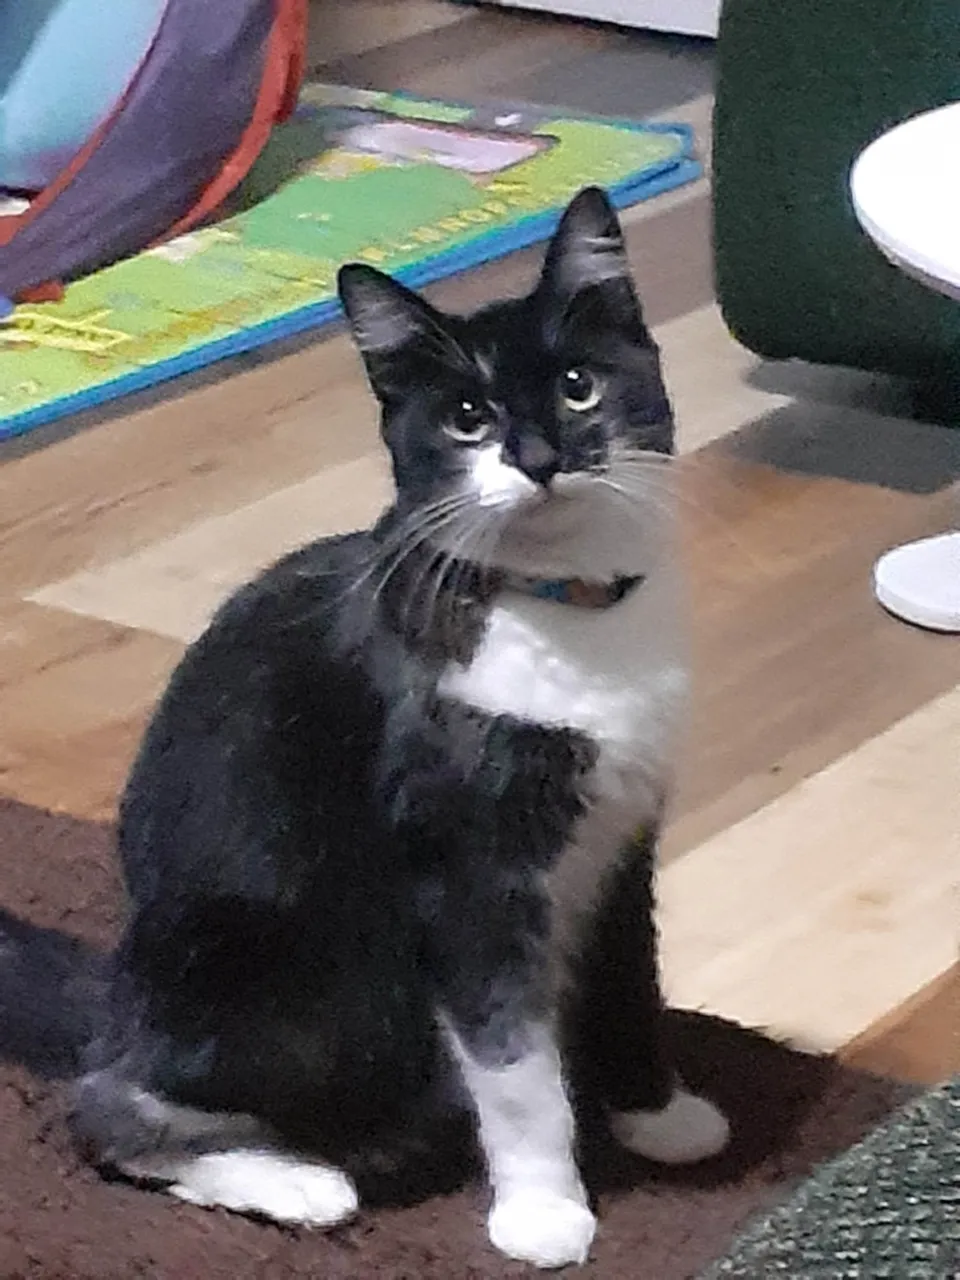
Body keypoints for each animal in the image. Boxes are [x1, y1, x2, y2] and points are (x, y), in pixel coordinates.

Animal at [16, 186, 729, 1270]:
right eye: (469, 417)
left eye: (577, 387)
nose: (539, 458)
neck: (562, 611)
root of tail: (111, 997)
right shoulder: (465, 864)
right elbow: (513, 1061)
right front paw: (543, 1208)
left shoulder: (623, 830)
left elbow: (629, 980)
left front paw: (659, 1113)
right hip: (290, 972)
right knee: (112, 1108)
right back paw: (298, 1179)